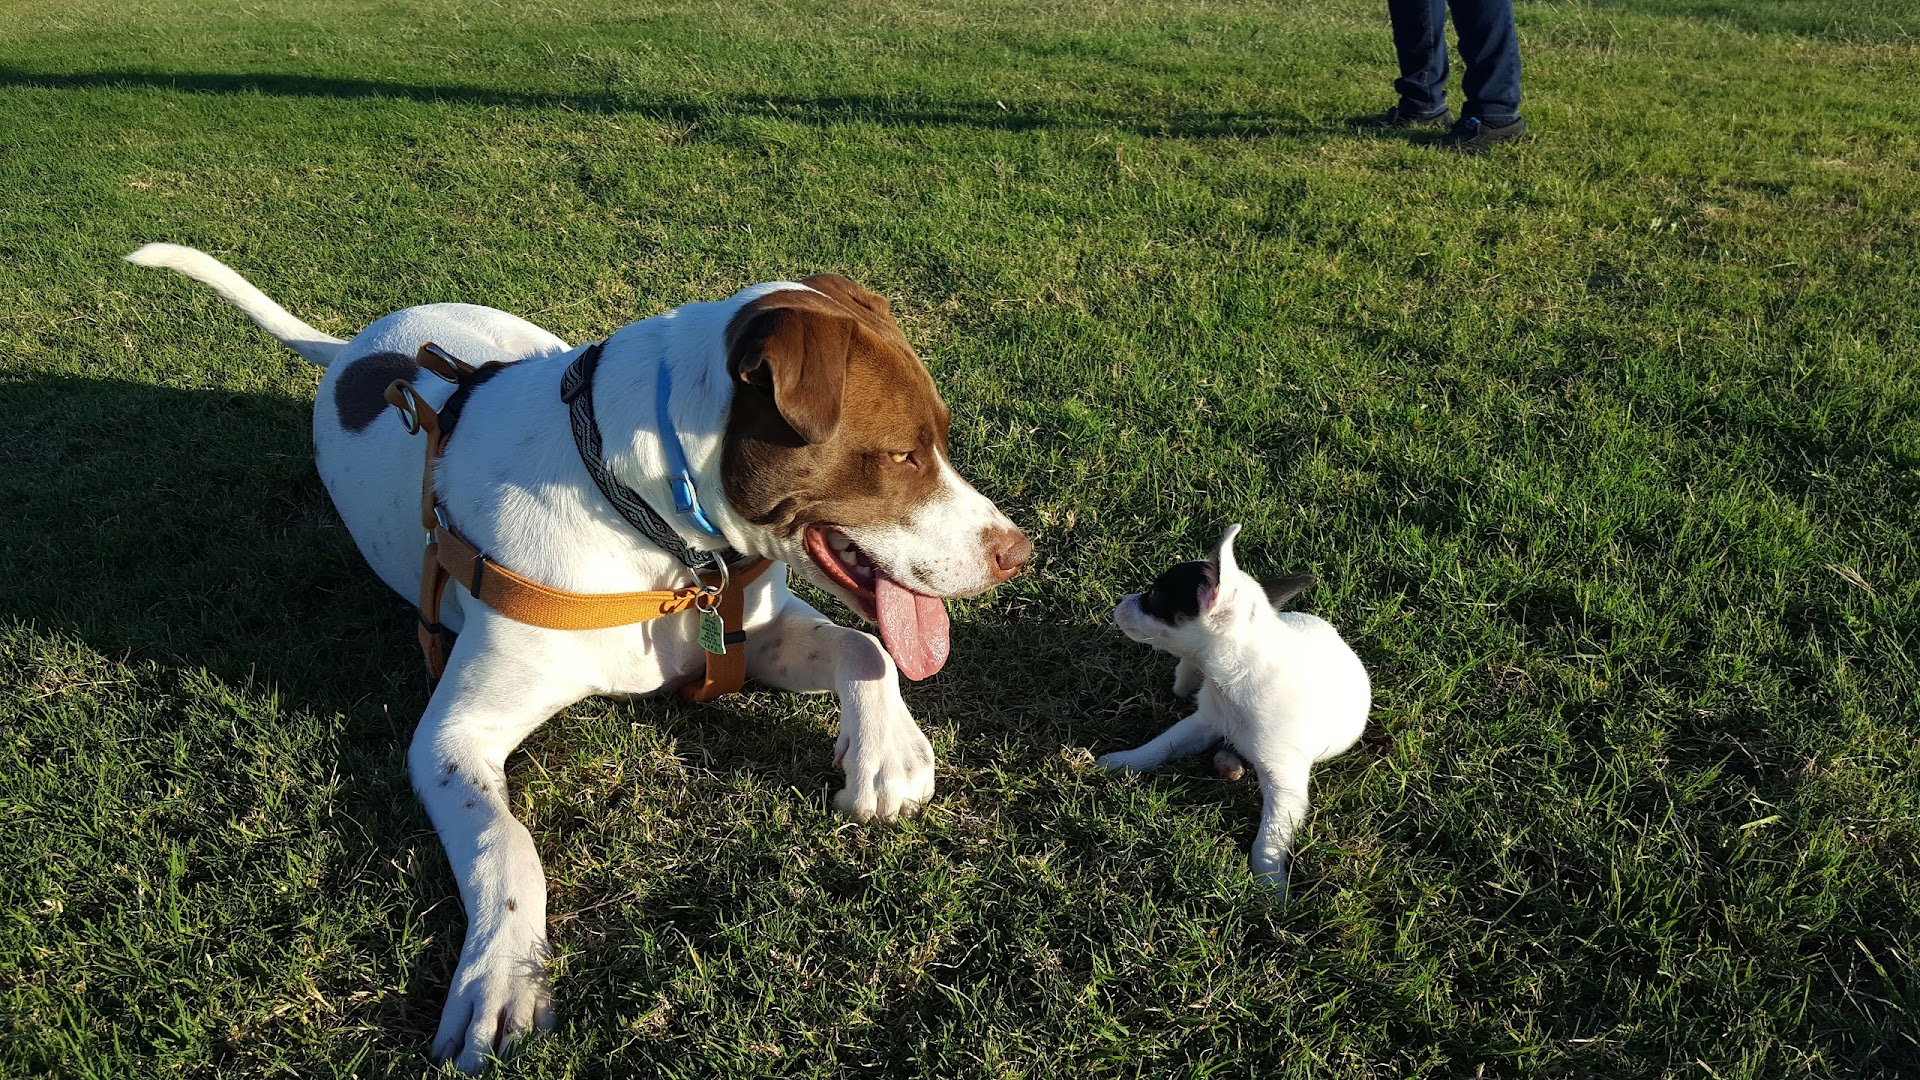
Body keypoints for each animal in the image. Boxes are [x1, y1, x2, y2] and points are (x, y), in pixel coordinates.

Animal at [125, 244, 1029, 1068]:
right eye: (902, 454)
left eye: (941, 440)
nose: (1018, 552)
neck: (647, 524)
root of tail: (358, 347)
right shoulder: (452, 737)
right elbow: (505, 844)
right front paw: (499, 979)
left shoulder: (755, 628)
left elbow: (868, 645)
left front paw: (888, 757)